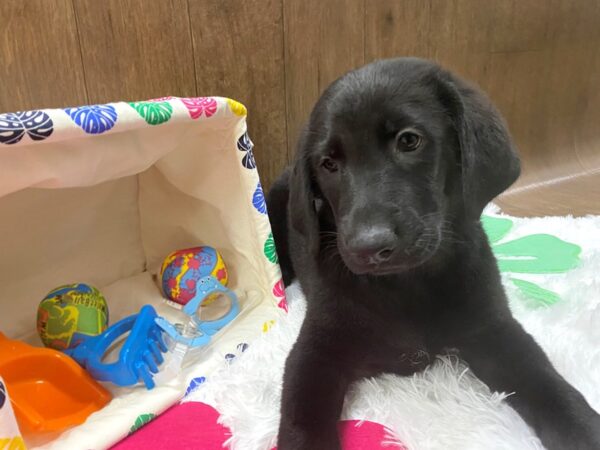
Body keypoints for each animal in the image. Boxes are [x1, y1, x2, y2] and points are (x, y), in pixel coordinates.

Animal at [268, 58, 600, 448]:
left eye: (409, 140)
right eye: (328, 164)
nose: (368, 246)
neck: (406, 285)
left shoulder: (493, 327)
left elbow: (546, 382)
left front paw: (585, 429)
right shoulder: (315, 352)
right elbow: (301, 421)